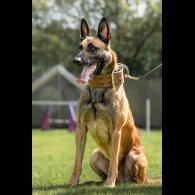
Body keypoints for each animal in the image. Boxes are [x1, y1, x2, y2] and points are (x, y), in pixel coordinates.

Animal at [69, 17, 161, 187]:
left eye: (92, 48)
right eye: (80, 47)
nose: (76, 60)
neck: (98, 86)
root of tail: (122, 180)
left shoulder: (115, 131)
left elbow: (113, 162)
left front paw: (109, 184)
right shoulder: (81, 129)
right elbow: (77, 161)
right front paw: (73, 182)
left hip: (133, 155)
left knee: (136, 180)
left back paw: (118, 182)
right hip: (95, 154)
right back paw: (96, 182)